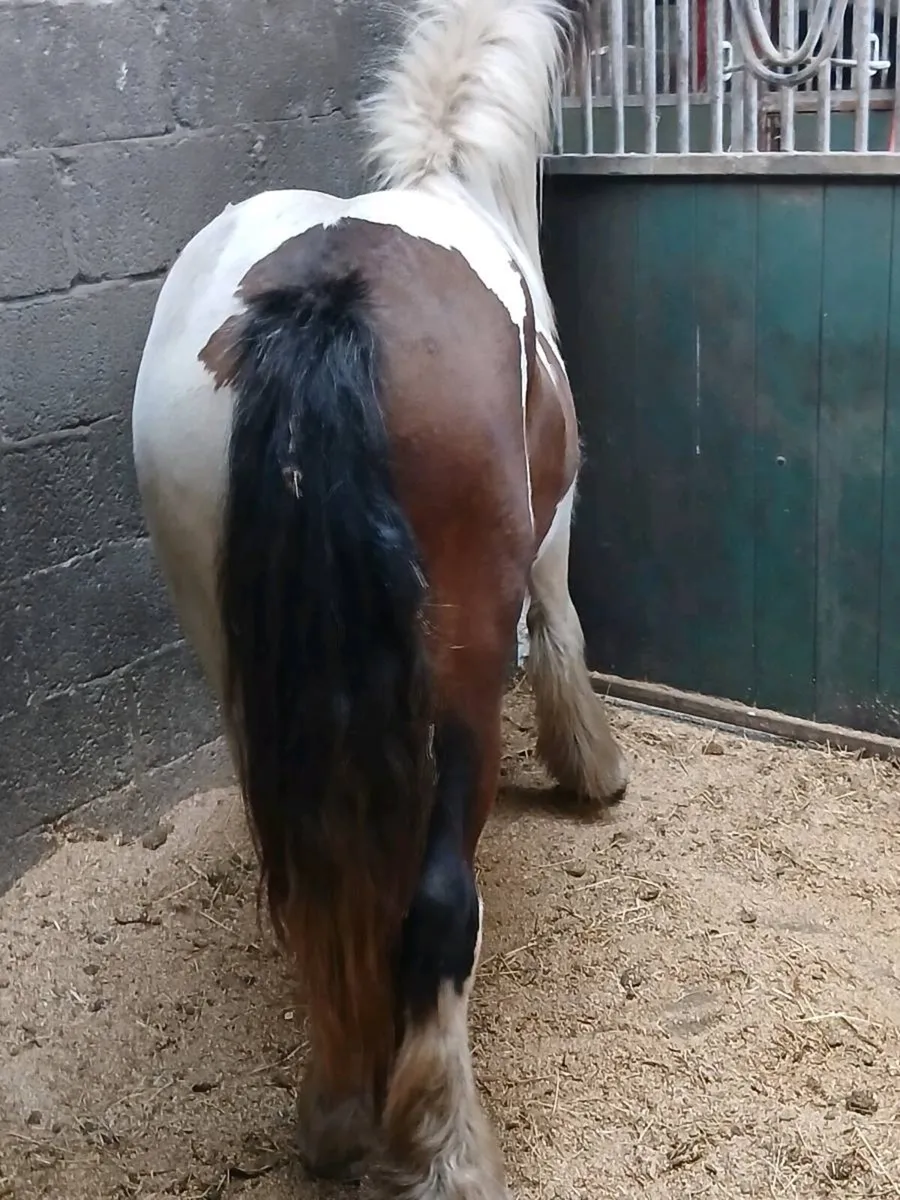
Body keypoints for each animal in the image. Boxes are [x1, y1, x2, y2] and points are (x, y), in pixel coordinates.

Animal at [131, 0, 628, 1195]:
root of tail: (329, 299)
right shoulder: (554, 526)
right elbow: (566, 627)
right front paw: (591, 768)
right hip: (458, 671)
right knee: (437, 902)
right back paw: (441, 1145)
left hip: (241, 673)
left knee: (309, 882)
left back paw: (334, 1112)